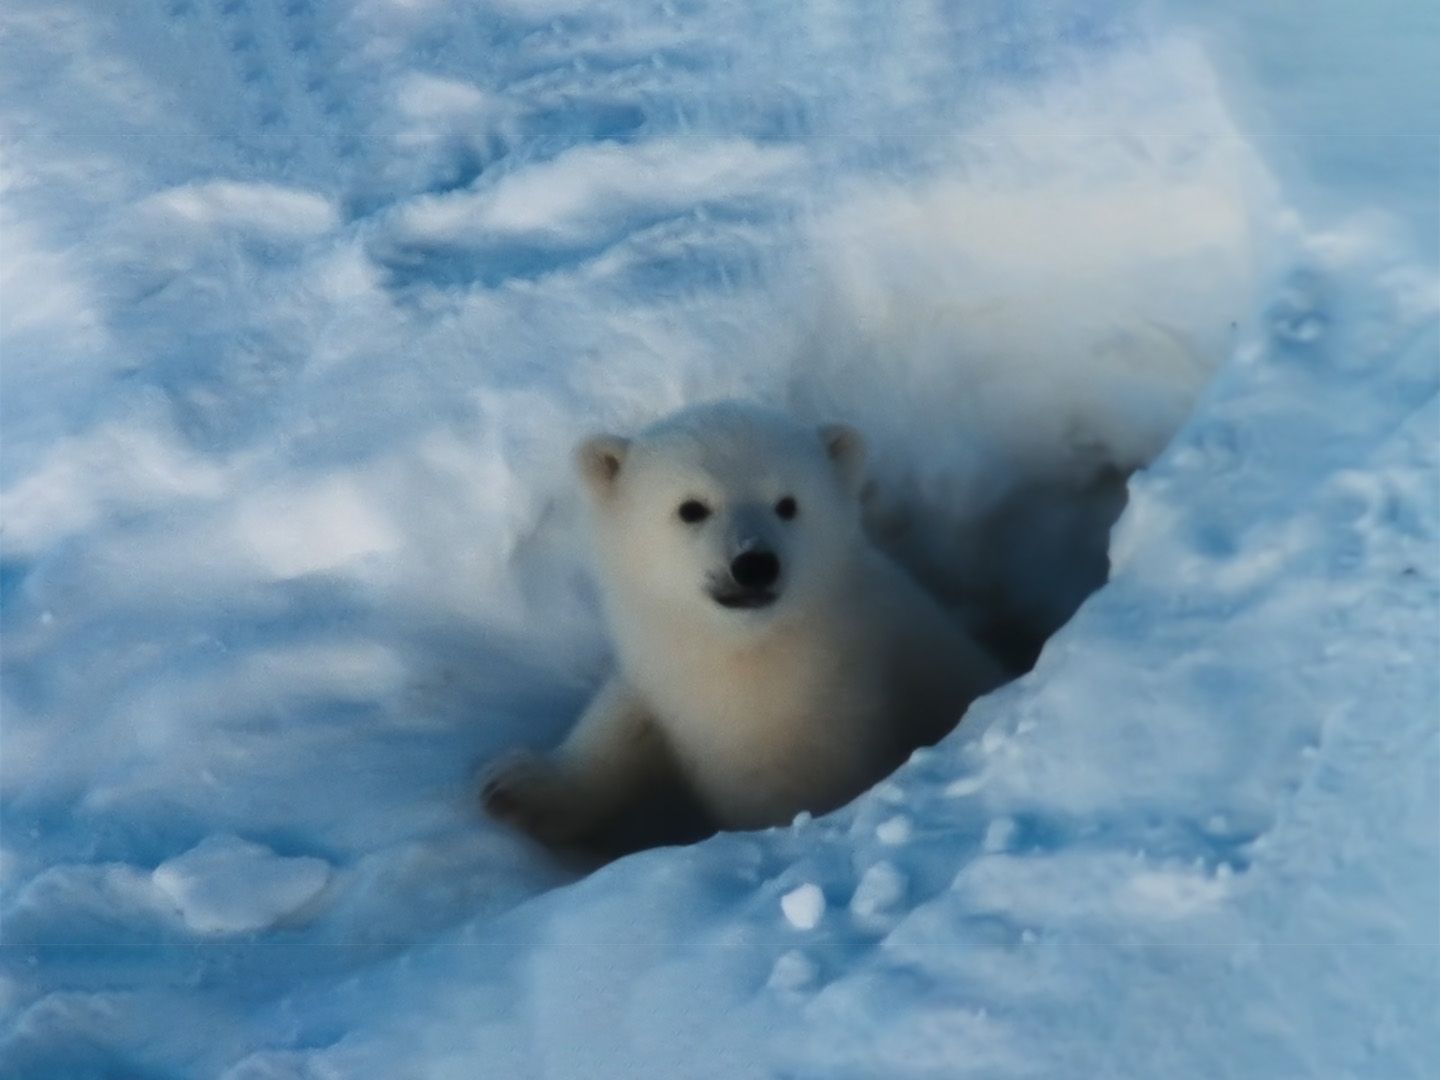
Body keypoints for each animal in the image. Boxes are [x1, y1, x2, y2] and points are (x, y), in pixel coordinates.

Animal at [481, 401, 1008, 847]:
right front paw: (516, 787)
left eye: (788, 503)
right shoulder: (666, 676)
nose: (754, 563)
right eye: (692, 507)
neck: (754, 655)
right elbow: (624, 727)